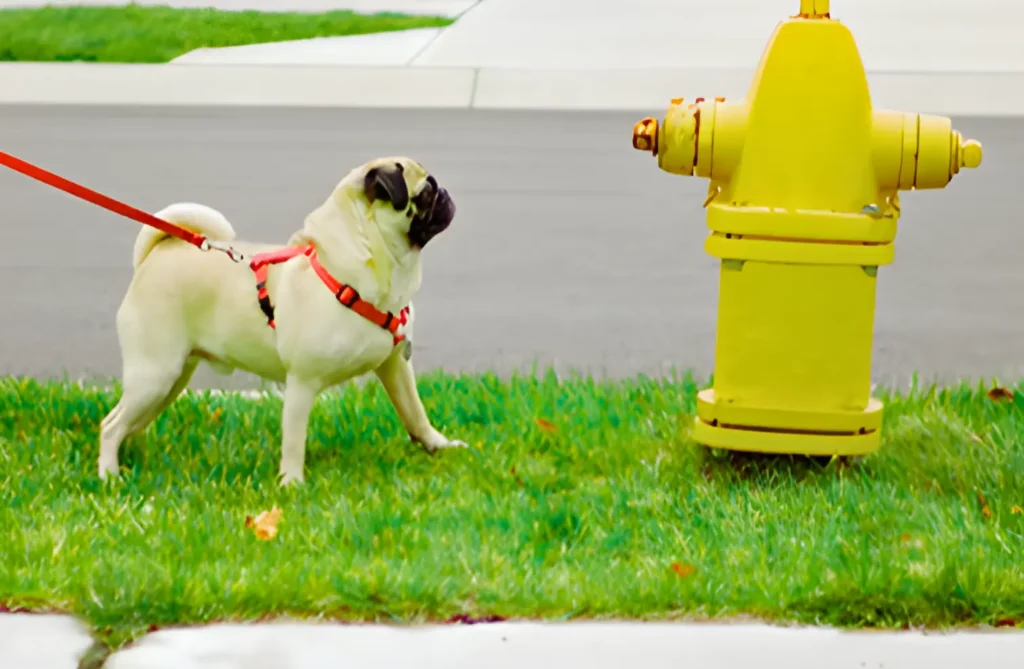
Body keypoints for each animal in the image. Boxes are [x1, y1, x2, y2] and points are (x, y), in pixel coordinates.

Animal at [97, 155, 466, 485]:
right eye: (426, 193)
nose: (446, 193)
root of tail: (156, 255)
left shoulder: (395, 367)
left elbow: (415, 412)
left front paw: (438, 445)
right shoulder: (302, 382)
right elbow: (294, 439)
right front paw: (291, 483)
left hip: (171, 379)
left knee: (129, 422)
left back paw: (132, 459)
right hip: (155, 374)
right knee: (110, 425)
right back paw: (110, 474)